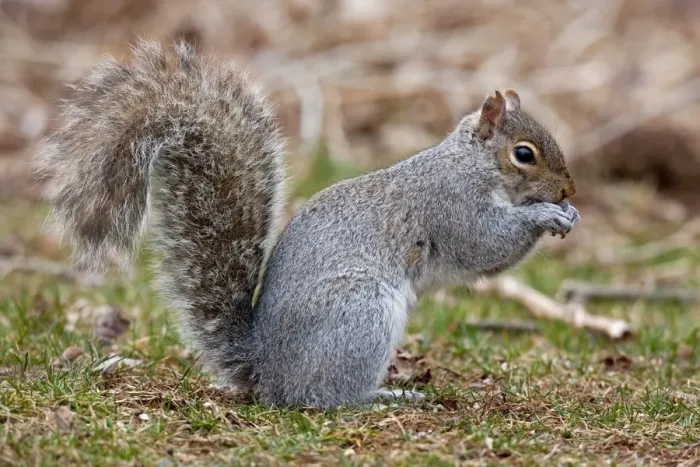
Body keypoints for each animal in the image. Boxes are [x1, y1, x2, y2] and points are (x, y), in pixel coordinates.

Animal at [35, 40, 579, 409]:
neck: (471, 164)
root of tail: (268, 372)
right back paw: (382, 397)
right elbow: (485, 245)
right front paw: (544, 216)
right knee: (322, 396)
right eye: (524, 154)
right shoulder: (453, 205)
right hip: (360, 313)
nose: (569, 192)